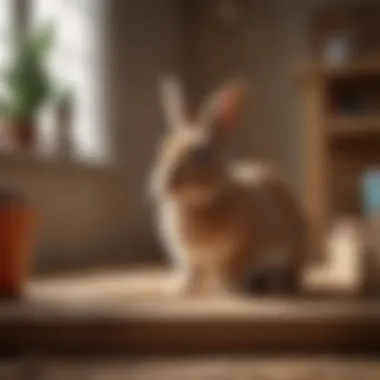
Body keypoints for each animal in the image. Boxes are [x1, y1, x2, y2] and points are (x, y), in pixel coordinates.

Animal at [149, 76, 308, 296]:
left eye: (202, 154)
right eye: (164, 147)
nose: (165, 184)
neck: (194, 204)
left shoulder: (242, 250)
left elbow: (232, 271)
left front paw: (227, 290)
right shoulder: (188, 258)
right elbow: (190, 273)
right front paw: (181, 288)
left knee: (288, 277)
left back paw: (272, 285)